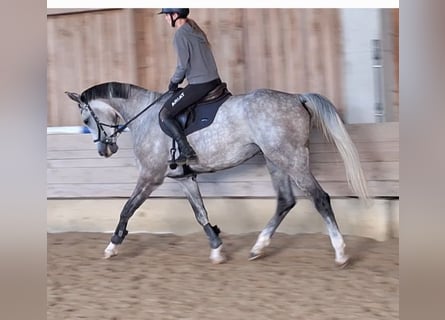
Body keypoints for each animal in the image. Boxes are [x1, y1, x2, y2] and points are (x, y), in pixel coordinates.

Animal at [63, 81, 368, 266]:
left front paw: (112, 246)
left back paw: (340, 253)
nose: (104, 149)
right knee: (285, 201)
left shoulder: (150, 176)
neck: (145, 117)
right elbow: (200, 213)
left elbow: (127, 209)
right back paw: (258, 247)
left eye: (86, 118)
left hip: (291, 159)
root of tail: (296, 98)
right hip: (275, 160)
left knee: (320, 198)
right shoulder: (185, 178)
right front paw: (217, 247)